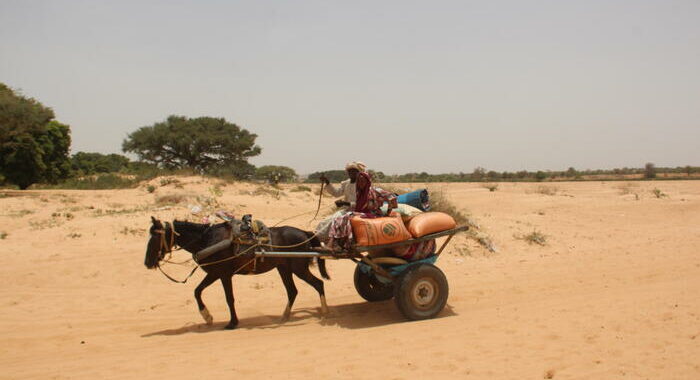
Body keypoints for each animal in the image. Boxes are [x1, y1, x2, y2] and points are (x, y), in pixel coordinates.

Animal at [144, 217, 330, 330]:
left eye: (155, 238)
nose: (147, 262)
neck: (207, 240)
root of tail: (306, 233)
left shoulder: (223, 274)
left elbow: (229, 298)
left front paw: (232, 322)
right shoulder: (214, 273)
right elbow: (197, 291)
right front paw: (207, 317)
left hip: (299, 268)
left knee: (318, 284)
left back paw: (325, 312)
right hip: (284, 268)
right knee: (292, 291)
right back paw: (284, 317)